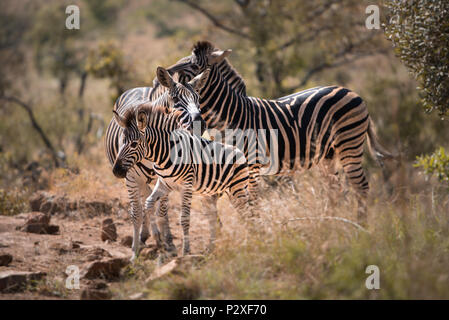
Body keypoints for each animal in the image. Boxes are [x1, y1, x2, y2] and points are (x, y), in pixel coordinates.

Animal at [106, 66, 207, 262]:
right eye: (175, 99)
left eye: (198, 98)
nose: (199, 123)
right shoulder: (131, 178)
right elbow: (136, 213)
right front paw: (135, 252)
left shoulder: (166, 177)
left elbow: (162, 211)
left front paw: (169, 244)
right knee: (143, 201)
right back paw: (146, 235)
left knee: (153, 203)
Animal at [111, 104, 252, 256]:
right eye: (121, 142)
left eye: (134, 144)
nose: (116, 171)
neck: (164, 154)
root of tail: (240, 152)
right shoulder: (164, 184)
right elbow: (150, 205)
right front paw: (159, 243)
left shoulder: (186, 185)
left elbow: (184, 218)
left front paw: (185, 251)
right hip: (211, 195)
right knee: (215, 219)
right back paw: (210, 249)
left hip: (237, 190)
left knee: (247, 214)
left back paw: (251, 243)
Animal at [162, 41, 392, 222]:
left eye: (193, 64)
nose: (166, 71)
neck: (230, 115)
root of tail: (351, 91)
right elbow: (232, 203)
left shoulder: (251, 166)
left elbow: (251, 203)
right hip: (328, 154)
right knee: (335, 189)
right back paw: (332, 224)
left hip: (349, 143)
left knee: (361, 187)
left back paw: (360, 227)